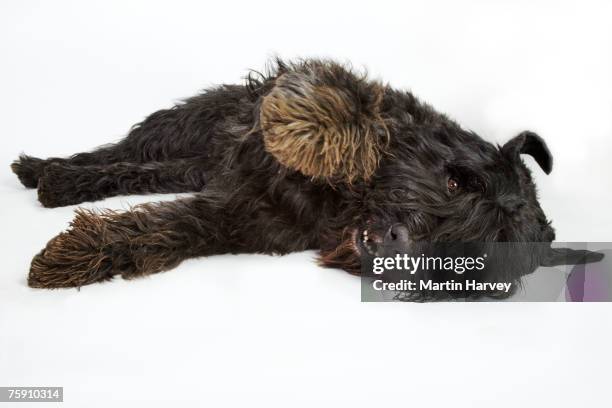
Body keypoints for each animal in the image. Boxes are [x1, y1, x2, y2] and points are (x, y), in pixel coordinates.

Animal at [10, 59, 604, 294]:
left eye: (481, 251)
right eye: (455, 183)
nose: (397, 239)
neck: (346, 207)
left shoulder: (237, 219)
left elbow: (158, 231)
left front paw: (74, 255)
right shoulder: (314, 85)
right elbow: (346, 111)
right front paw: (313, 132)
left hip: (193, 166)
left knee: (137, 172)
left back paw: (55, 182)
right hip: (182, 127)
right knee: (120, 151)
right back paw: (42, 169)